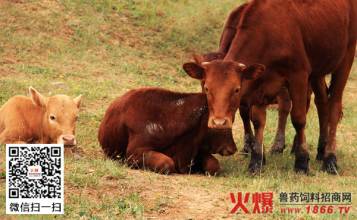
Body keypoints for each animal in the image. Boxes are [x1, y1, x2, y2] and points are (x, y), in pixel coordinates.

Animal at [184, 0, 356, 175]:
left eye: (237, 89)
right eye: (206, 88)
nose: (219, 122)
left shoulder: (298, 75)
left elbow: (298, 118)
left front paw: (301, 161)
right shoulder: (260, 83)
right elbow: (257, 119)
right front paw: (256, 160)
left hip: (346, 57)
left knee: (333, 106)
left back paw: (330, 159)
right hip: (317, 70)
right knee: (322, 103)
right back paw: (320, 150)